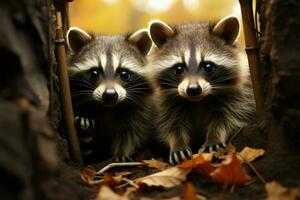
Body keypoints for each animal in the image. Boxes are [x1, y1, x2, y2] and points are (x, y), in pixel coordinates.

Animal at [66, 27, 155, 162]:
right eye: (94, 73)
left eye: (124, 74)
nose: (110, 94)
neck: (108, 108)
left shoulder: (141, 108)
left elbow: (131, 132)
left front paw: (122, 153)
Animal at [148, 16, 255, 165]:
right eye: (179, 68)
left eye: (208, 66)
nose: (193, 90)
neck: (198, 101)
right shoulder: (165, 102)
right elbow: (169, 125)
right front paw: (177, 143)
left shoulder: (240, 96)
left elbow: (228, 118)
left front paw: (214, 137)